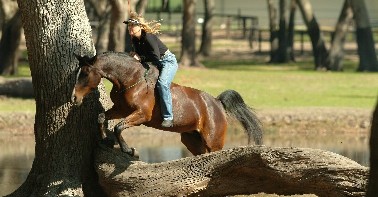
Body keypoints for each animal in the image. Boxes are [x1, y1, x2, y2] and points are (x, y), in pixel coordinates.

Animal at [71, 51, 262, 156]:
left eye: (85, 73)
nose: (74, 98)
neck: (131, 79)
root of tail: (217, 102)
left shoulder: (141, 115)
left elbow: (118, 127)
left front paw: (129, 150)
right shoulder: (121, 109)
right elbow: (101, 117)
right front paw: (106, 140)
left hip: (213, 142)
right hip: (191, 139)